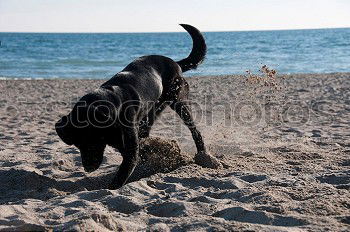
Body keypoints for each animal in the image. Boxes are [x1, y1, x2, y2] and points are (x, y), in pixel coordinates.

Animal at [56, 24, 223, 189]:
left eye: (92, 142)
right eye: (78, 145)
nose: (88, 168)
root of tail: (175, 63)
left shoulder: (130, 147)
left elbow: (124, 171)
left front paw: (112, 187)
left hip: (178, 101)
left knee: (194, 130)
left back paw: (204, 155)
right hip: (154, 108)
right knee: (147, 129)